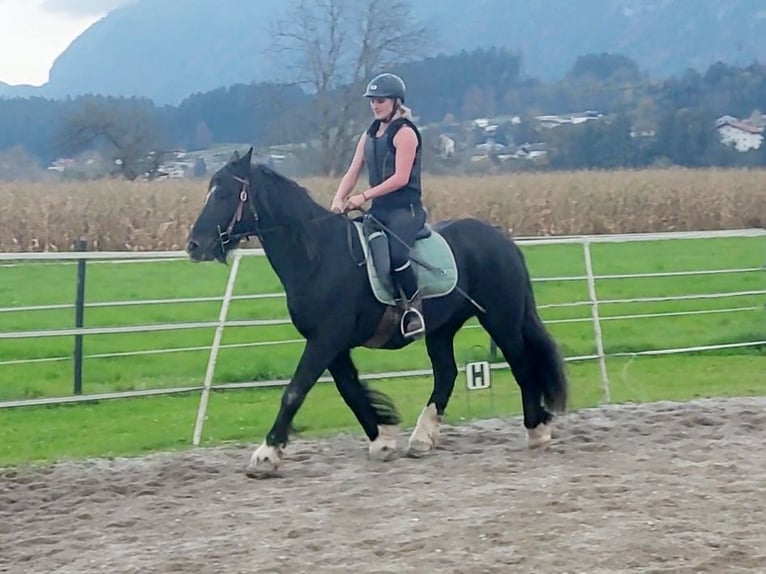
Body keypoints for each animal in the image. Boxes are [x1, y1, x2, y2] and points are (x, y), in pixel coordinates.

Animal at [186, 147, 568, 476]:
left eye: (224, 195)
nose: (194, 246)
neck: (317, 255)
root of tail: (502, 239)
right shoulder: (331, 343)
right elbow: (350, 390)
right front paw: (381, 440)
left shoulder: (326, 339)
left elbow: (295, 391)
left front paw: (266, 455)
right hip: (441, 328)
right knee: (446, 373)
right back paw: (422, 439)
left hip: (499, 319)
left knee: (520, 364)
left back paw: (536, 430)